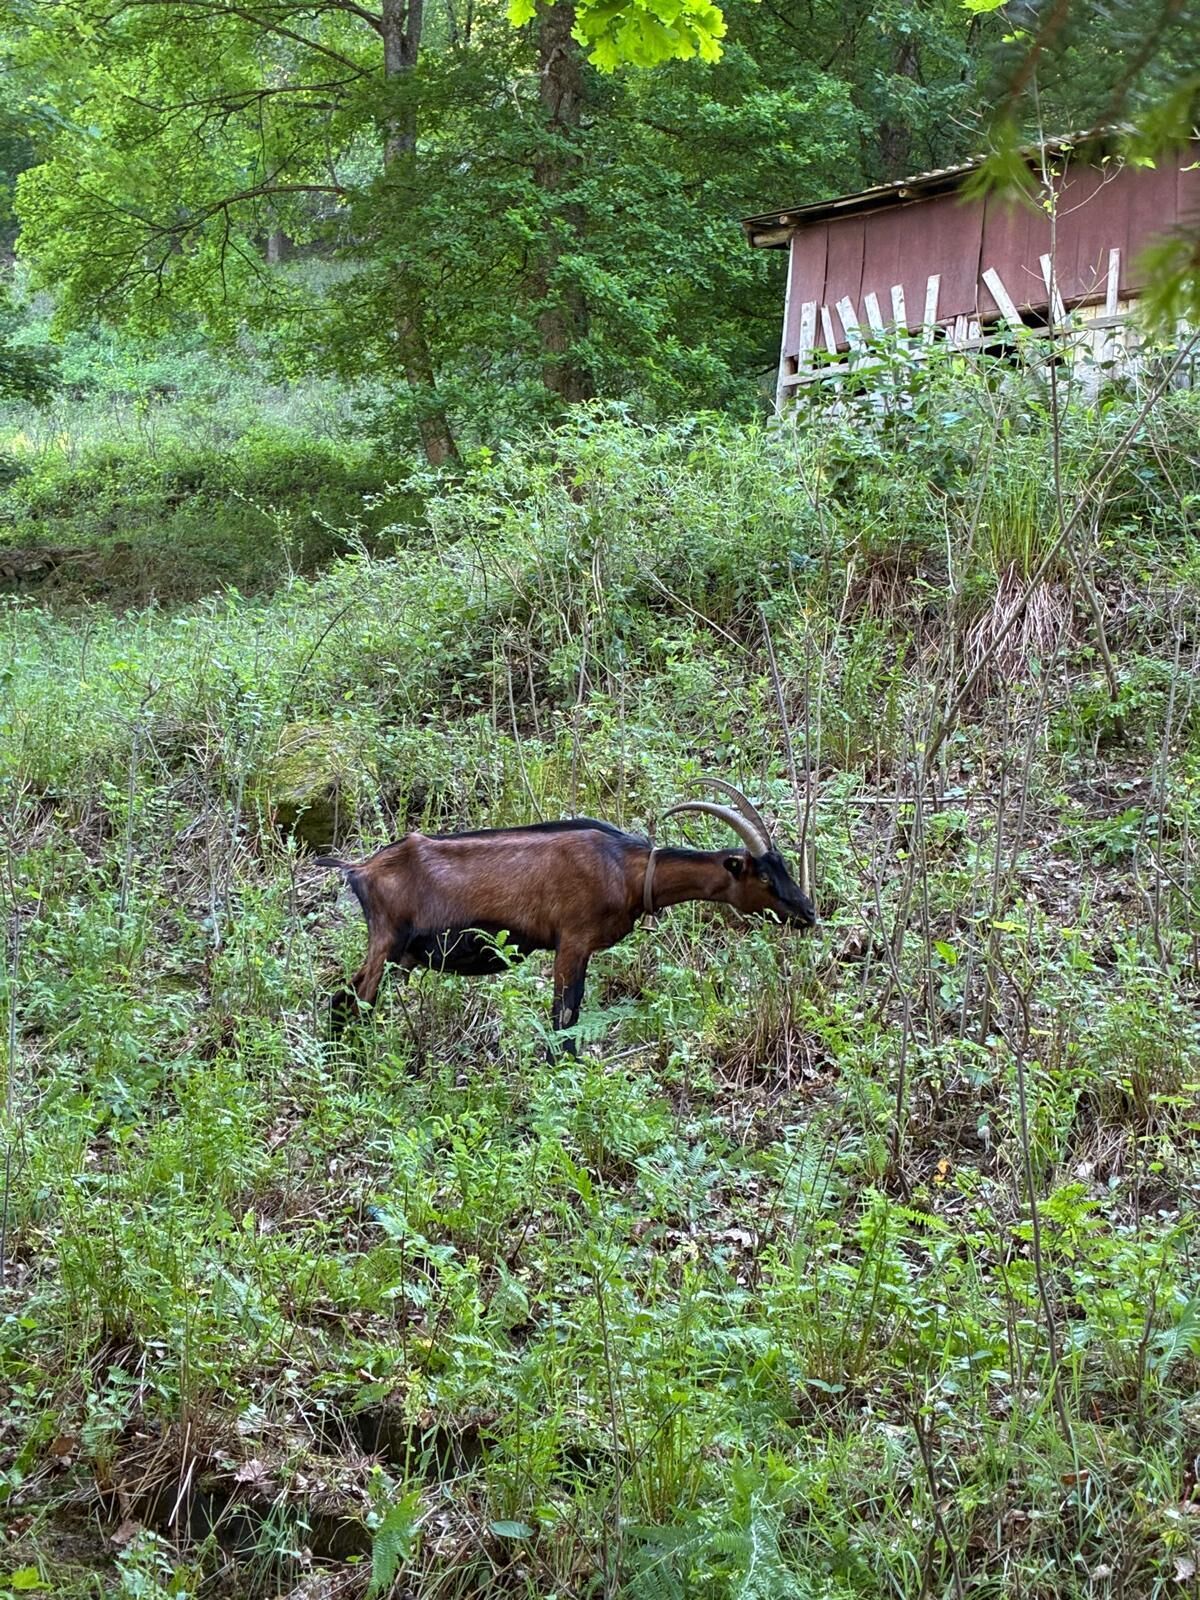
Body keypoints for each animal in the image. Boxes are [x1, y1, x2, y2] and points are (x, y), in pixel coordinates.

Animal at [316, 778, 816, 1050]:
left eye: (785, 866)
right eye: (764, 876)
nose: (808, 913)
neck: (628, 868)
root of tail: (360, 868)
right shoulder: (572, 943)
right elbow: (564, 1021)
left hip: (398, 953)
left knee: (344, 1000)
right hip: (386, 942)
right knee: (354, 1002)